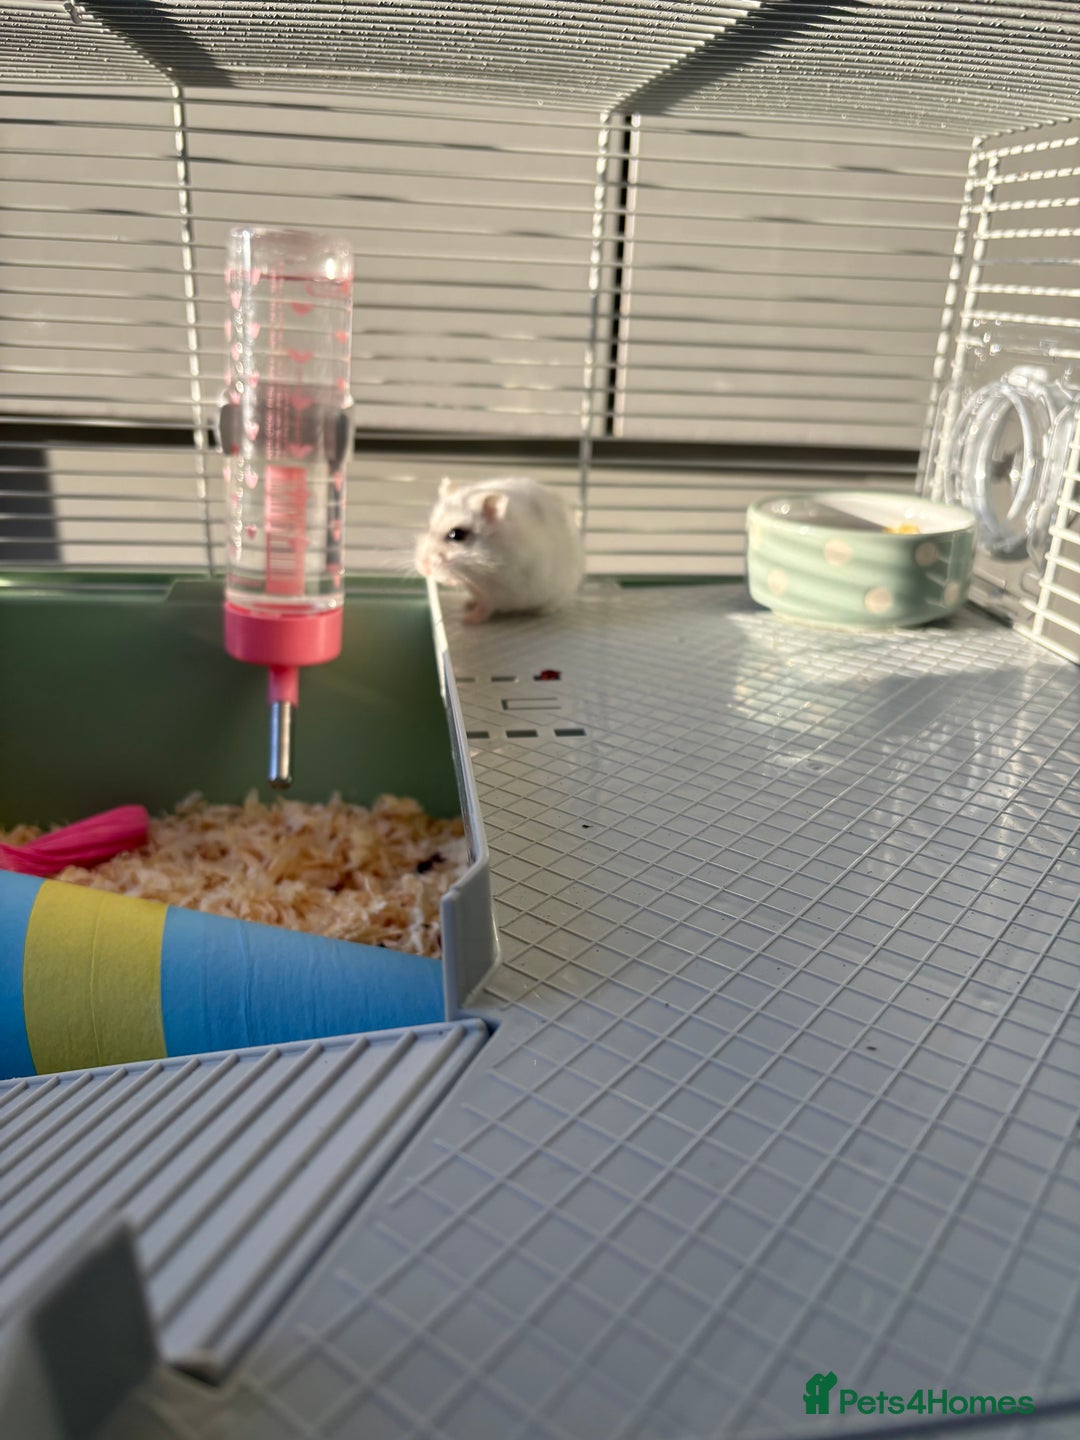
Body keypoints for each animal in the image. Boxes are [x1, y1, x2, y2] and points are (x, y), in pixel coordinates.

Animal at [415, 476, 586, 623]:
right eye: (429, 527)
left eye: (457, 534)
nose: (423, 570)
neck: (479, 574)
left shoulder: (500, 592)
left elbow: (486, 608)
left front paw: (466, 621)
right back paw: (469, 603)